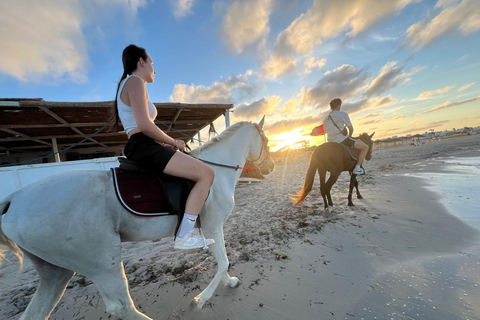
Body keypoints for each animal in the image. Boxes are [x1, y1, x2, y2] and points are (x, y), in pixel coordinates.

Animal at [0, 119, 274, 320]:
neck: (217, 171)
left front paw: (230, 283)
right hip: (102, 261)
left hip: (56, 272)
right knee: (121, 307)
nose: (271, 167)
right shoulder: (213, 226)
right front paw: (200, 300)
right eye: (267, 140)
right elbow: (224, 262)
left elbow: (223, 264)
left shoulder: (211, 230)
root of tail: (14, 199)